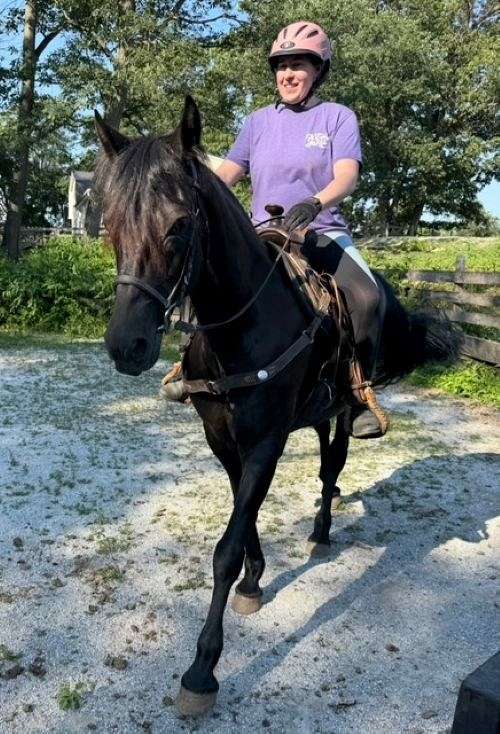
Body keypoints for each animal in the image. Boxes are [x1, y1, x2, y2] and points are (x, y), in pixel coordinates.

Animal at [95, 95, 459, 715]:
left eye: (180, 225)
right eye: (111, 224)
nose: (128, 346)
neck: (241, 327)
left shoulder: (266, 440)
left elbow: (226, 545)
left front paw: (202, 669)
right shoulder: (225, 438)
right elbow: (243, 518)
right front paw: (254, 579)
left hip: (343, 411)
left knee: (332, 465)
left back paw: (321, 531)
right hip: (312, 415)